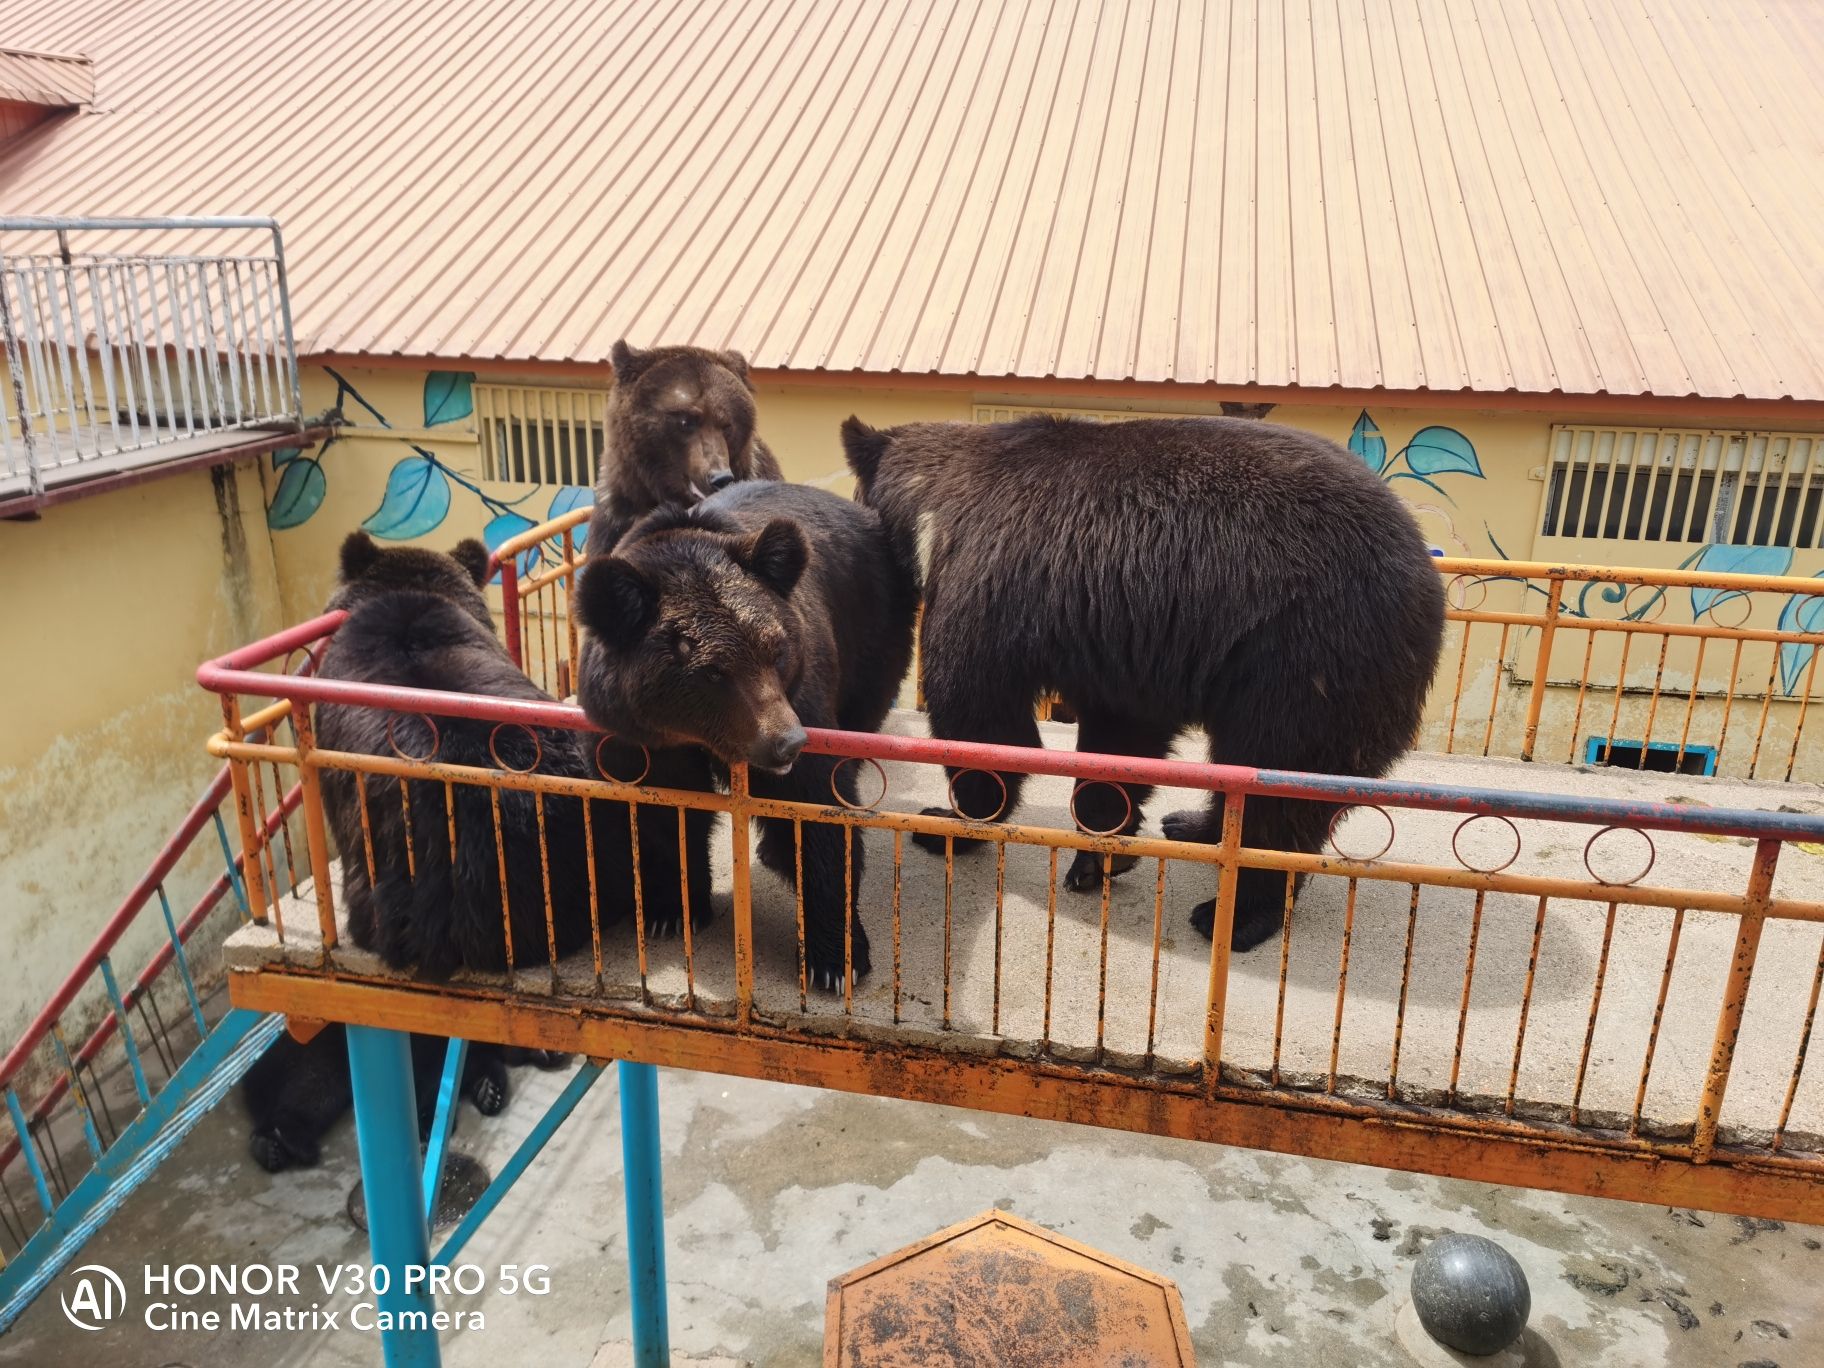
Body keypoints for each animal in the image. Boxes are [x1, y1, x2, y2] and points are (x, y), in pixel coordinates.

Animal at [241, 1026, 567, 1173]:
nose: (558, 1052)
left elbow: (477, 1067)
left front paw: (489, 1091)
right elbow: (433, 1079)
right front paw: (428, 1121)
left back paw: (269, 1147)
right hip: (317, 1052)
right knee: (313, 1090)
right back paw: (290, 1139)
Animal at [573, 481, 918, 991]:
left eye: (776, 649)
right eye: (712, 672)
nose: (787, 742)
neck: (692, 734)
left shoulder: (804, 699)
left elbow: (815, 811)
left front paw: (836, 959)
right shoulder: (638, 741)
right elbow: (666, 815)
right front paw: (671, 910)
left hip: (872, 630)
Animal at [841, 413, 1446, 953]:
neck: (933, 513)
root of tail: (1427, 578)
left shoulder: (987, 578)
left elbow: (981, 716)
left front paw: (947, 820)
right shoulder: (1122, 633)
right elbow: (1122, 737)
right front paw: (1101, 852)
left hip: (1310, 657)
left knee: (1280, 781)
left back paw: (1237, 914)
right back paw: (1195, 824)